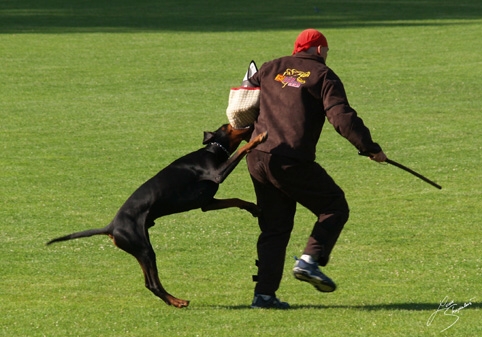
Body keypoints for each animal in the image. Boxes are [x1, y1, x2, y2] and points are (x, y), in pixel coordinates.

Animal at [47, 123, 268, 308]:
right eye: (228, 126)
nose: (250, 125)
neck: (212, 151)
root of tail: (111, 226)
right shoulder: (218, 174)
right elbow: (241, 151)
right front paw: (258, 139)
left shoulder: (207, 203)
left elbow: (236, 199)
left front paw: (254, 208)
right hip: (144, 248)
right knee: (152, 284)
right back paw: (177, 301)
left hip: (140, 249)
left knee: (149, 283)